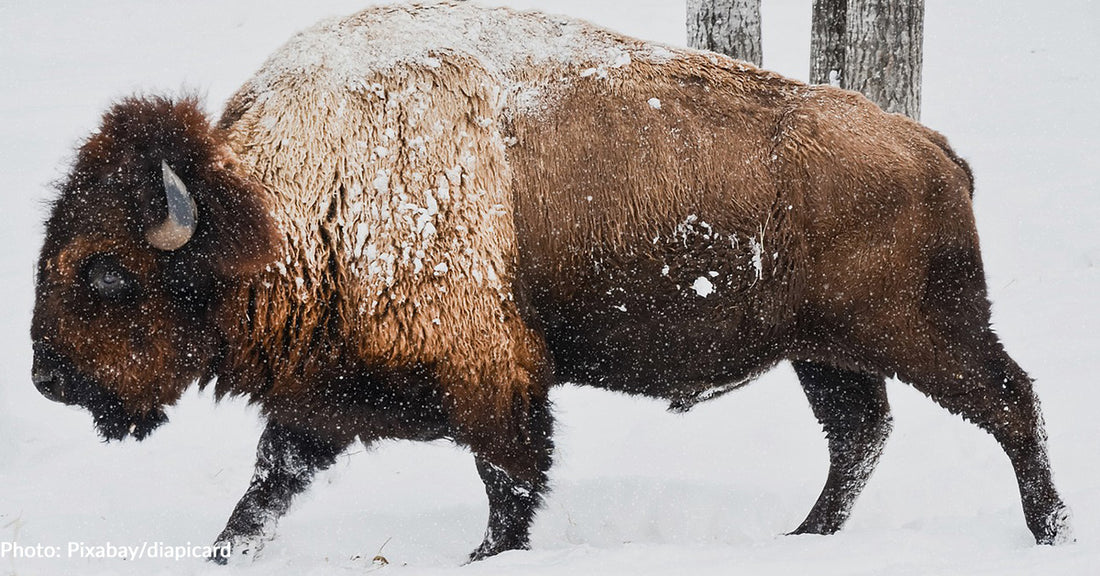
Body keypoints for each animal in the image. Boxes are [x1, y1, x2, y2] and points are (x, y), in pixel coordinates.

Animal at [31, 0, 1070, 562]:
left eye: (108, 271)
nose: (46, 378)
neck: (278, 200)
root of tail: (930, 147)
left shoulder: (496, 381)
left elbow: (509, 487)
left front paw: (485, 556)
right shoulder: (323, 399)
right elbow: (263, 492)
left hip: (926, 335)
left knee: (1010, 403)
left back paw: (1048, 532)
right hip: (826, 354)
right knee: (860, 435)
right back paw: (805, 538)